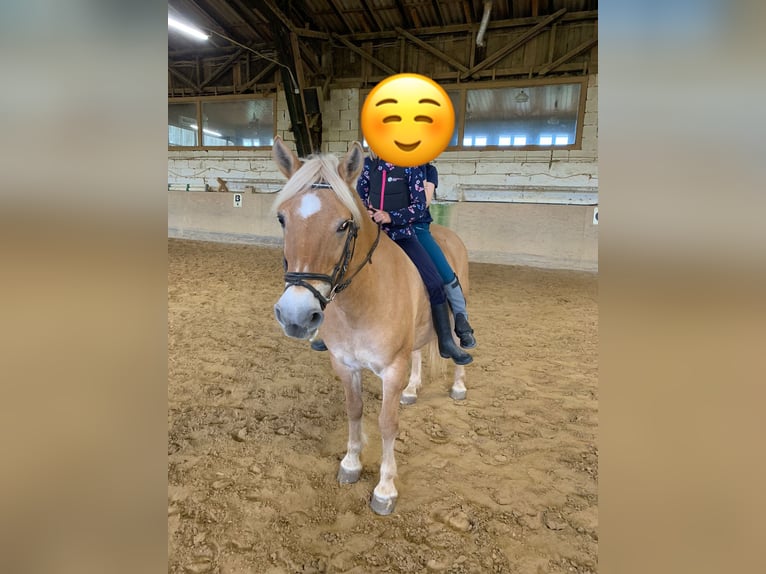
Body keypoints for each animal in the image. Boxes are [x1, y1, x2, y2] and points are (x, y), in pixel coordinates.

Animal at [272, 138, 474, 516]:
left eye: (343, 224)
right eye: (282, 219)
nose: (296, 315)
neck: (360, 303)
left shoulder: (391, 369)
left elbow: (386, 424)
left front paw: (385, 488)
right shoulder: (345, 365)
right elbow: (354, 412)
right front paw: (351, 464)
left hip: (456, 312)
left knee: (457, 342)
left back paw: (458, 384)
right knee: (419, 352)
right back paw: (413, 389)